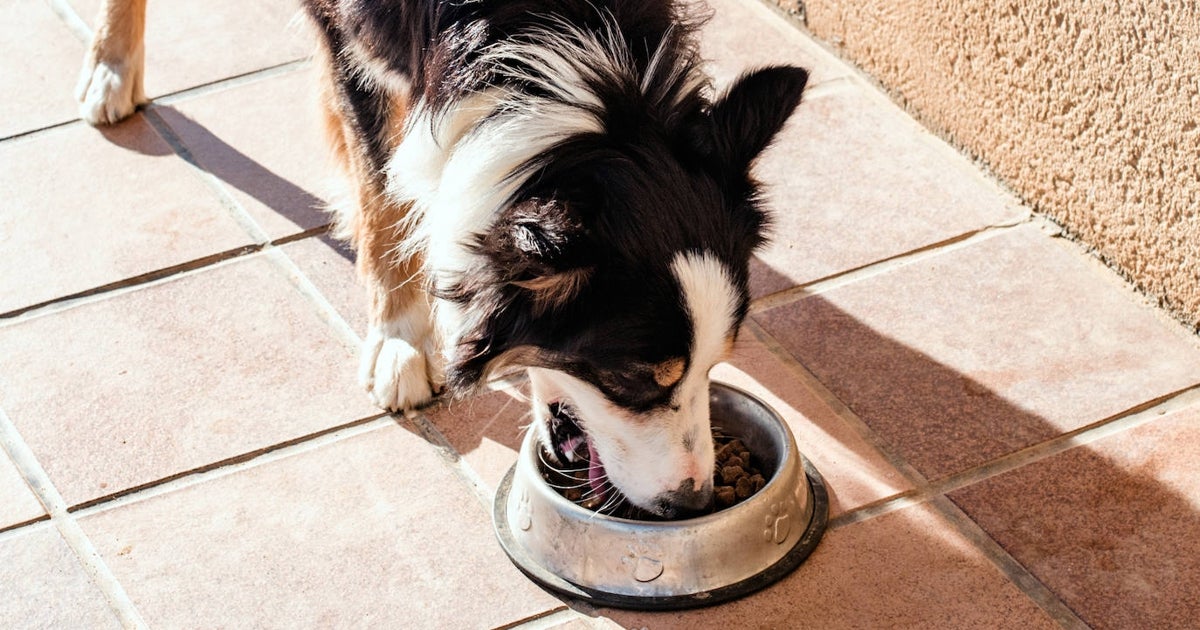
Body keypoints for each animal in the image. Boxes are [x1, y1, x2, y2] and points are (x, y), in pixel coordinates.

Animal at [72, 0, 806, 518]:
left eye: (716, 365)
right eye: (634, 379)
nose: (690, 502)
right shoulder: (351, 38)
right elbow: (381, 190)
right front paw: (400, 342)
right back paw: (111, 66)